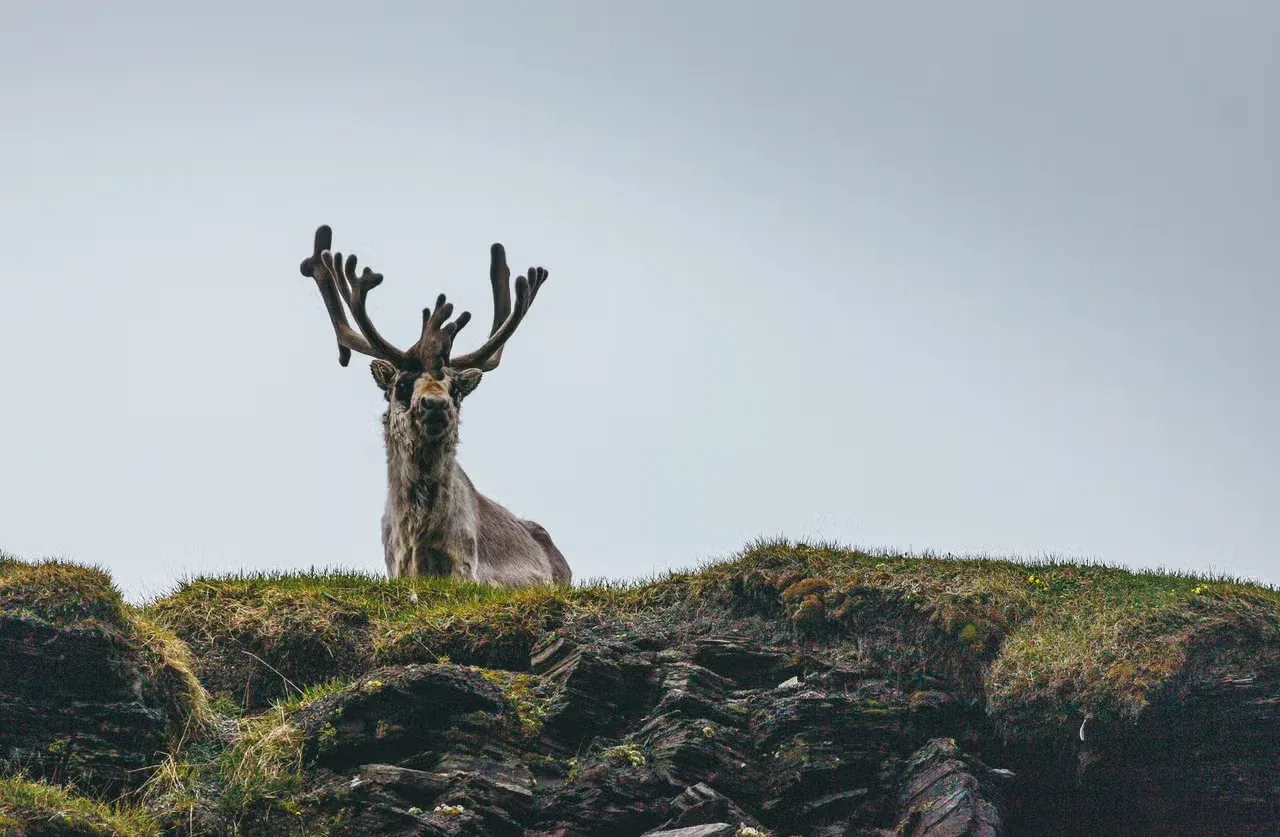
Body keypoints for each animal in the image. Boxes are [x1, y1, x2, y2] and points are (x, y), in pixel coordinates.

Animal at [297, 224, 572, 587]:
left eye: (456, 391)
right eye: (402, 385)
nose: (436, 404)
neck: (418, 536)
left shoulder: (467, 566)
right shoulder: (395, 566)